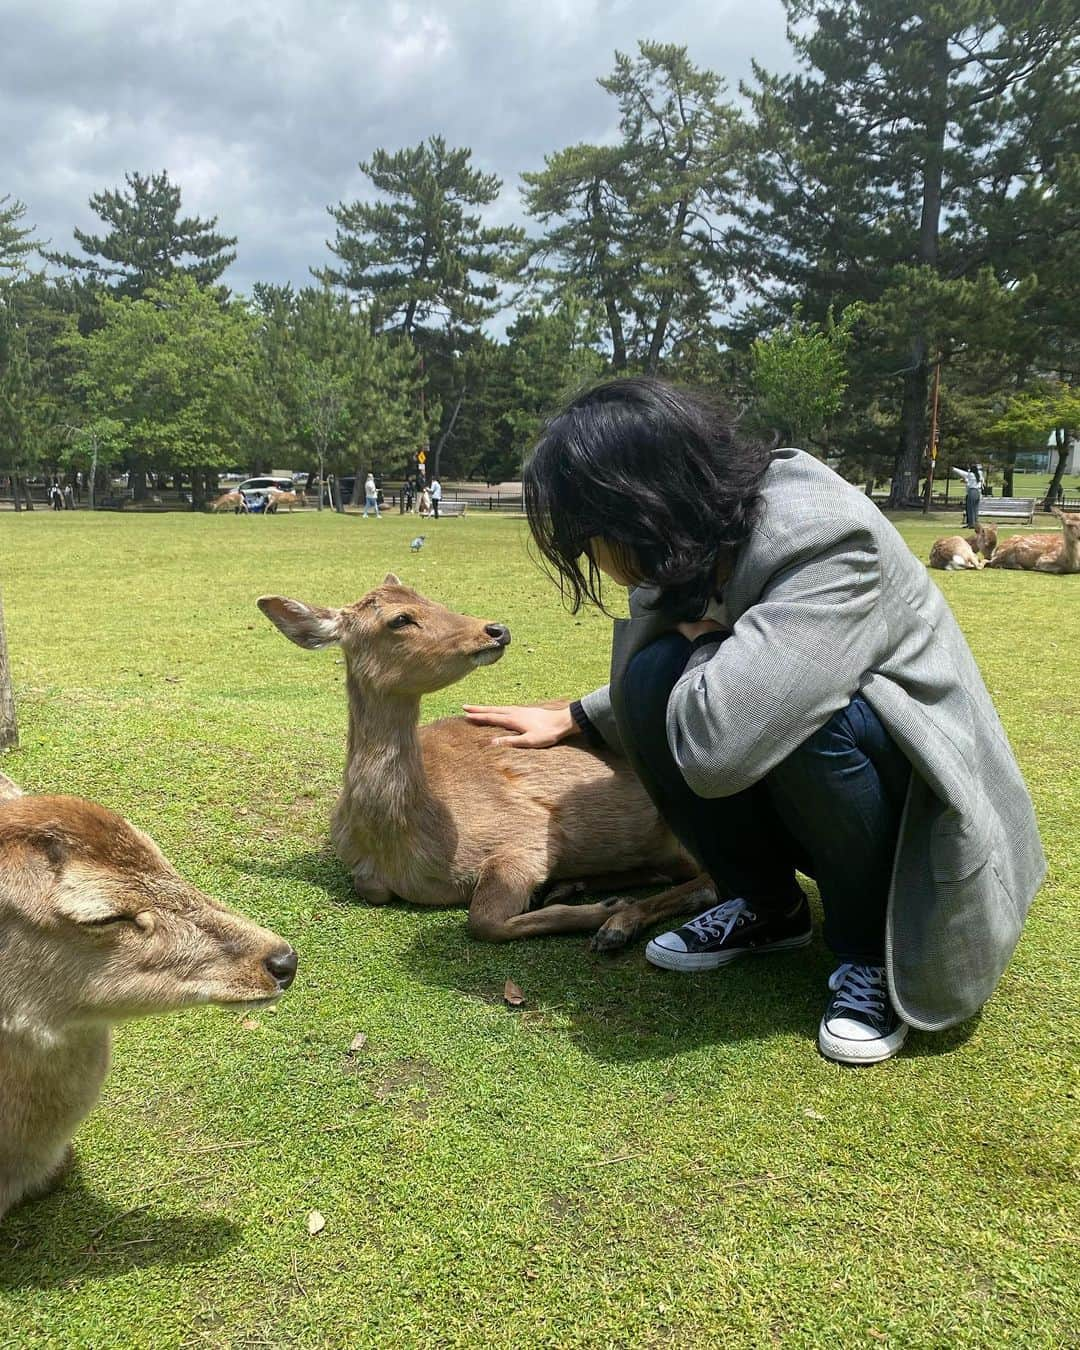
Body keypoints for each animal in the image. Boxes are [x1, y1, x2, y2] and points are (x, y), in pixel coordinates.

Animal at [257, 580, 712, 950]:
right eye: (400, 619)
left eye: (432, 597)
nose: (496, 629)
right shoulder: (365, 873)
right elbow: (370, 887)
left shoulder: (527, 833)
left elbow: (484, 920)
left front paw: (602, 911)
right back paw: (575, 887)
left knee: (706, 884)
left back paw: (616, 919)